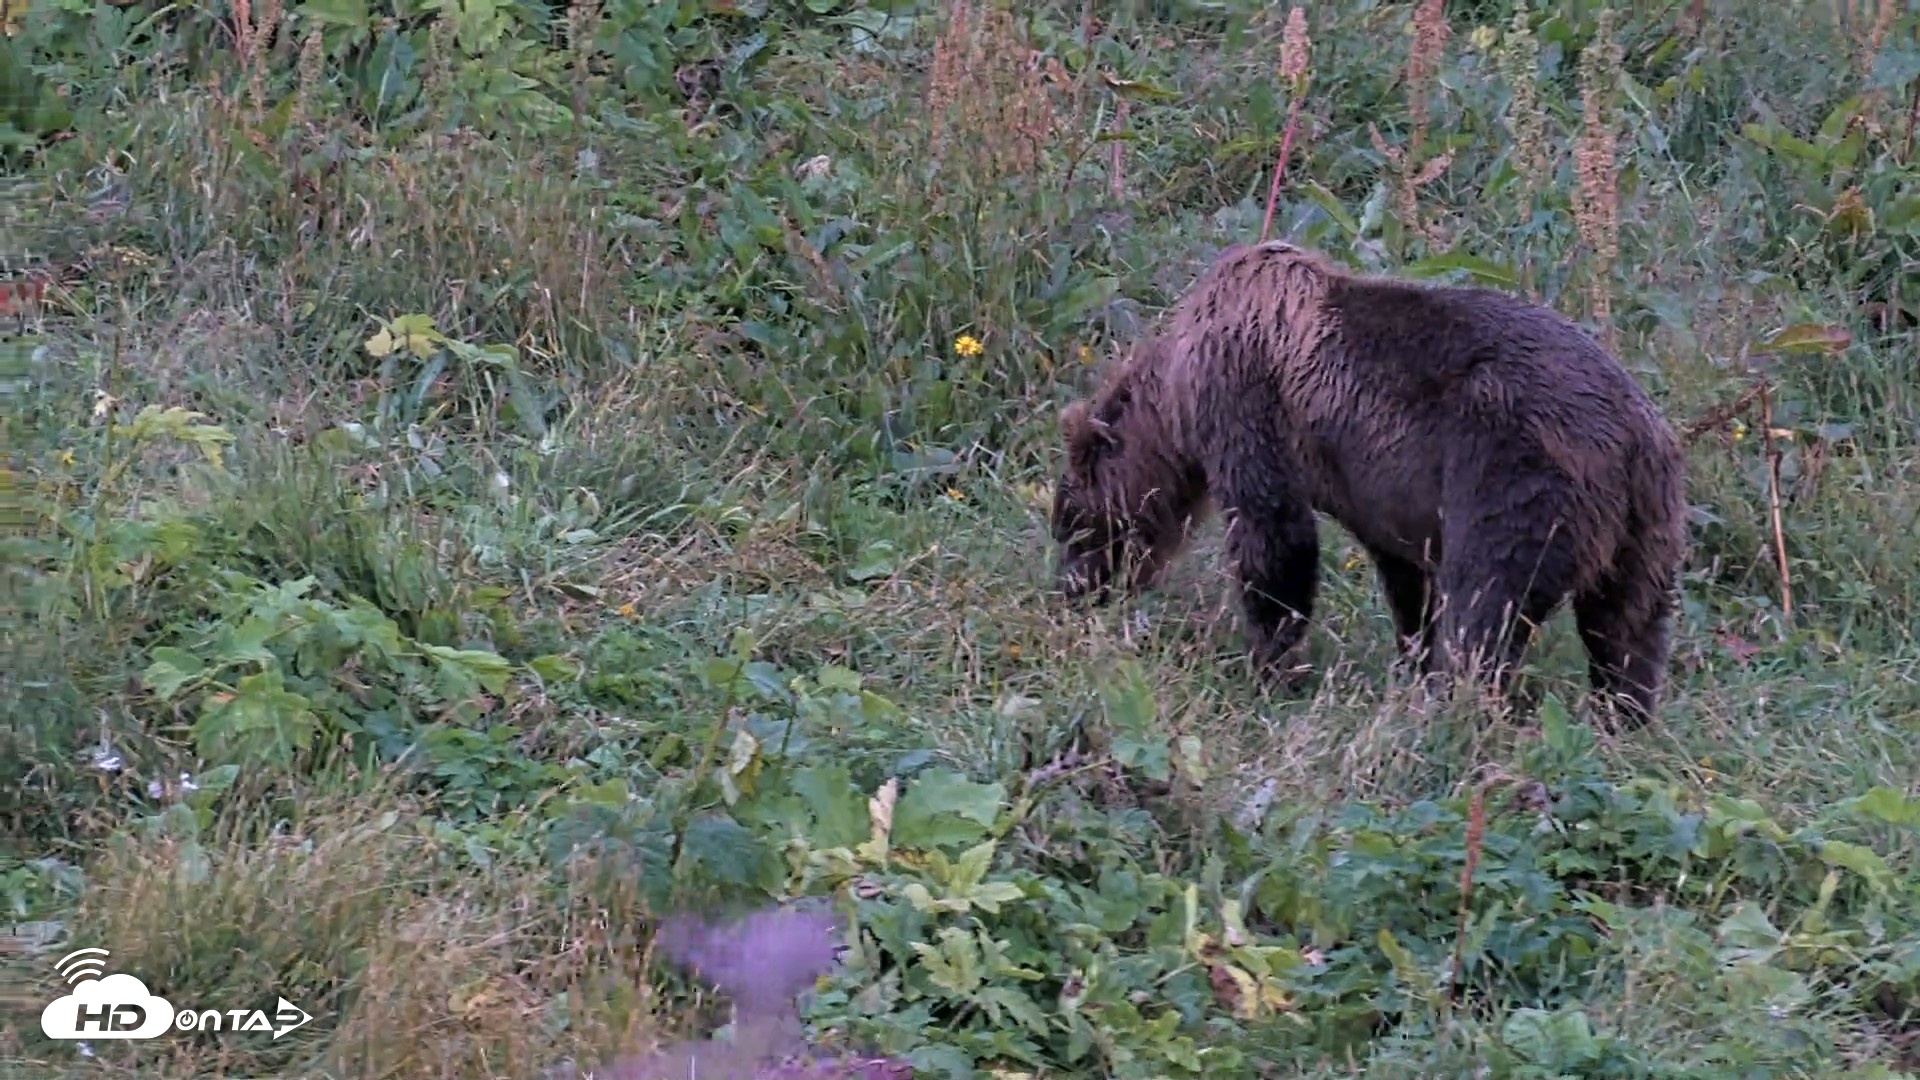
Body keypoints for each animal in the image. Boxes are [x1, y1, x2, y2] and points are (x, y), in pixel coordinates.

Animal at [1048, 240, 1688, 727]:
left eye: (1070, 521)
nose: (1071, 594)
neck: (1177, 396)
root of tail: (1632, 437)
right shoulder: (1386, 493)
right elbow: (1406, 577)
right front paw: (1408, 657)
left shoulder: (1244, 399)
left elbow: (1273, 537)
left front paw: (1271, 668)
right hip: (1648, 526)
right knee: (1627, 629)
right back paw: (1623, 717)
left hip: (1514, 472)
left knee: (1486, 604)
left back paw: (1454, 712)